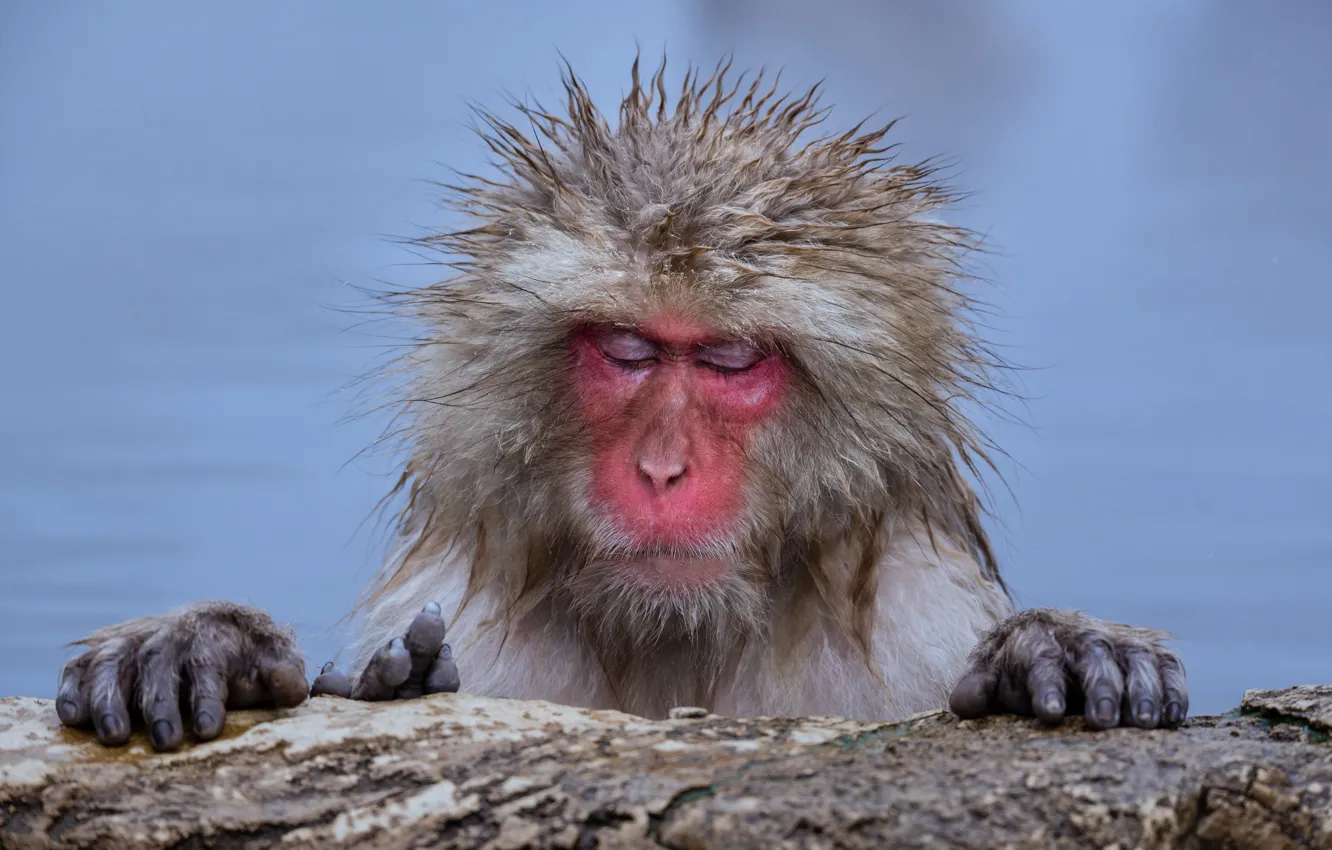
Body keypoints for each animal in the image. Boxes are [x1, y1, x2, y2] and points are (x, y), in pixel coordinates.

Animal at [54, 57, 1187, 753]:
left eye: (728, 357)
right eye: (631, 350)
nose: (662, 469)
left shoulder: (917, 620)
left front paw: (1054, 652)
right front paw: (219, 647)